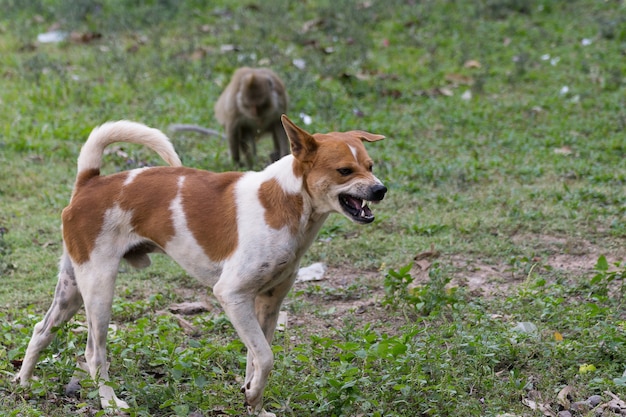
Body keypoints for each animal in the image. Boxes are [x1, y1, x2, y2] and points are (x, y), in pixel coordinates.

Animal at [13, 114, 386, 416]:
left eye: (370, 165)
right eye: (344, 171)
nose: (381, 189)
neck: (285, 201)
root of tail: (90, 181)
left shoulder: (267, 301)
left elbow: (255, 358)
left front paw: (253, 402)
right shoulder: (231, 294)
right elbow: (266, 357)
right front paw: (253, 396)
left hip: (72, 288)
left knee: (41, 330)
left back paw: (23, 382)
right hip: (99, 287)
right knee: (94, 353)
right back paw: (110, 402)